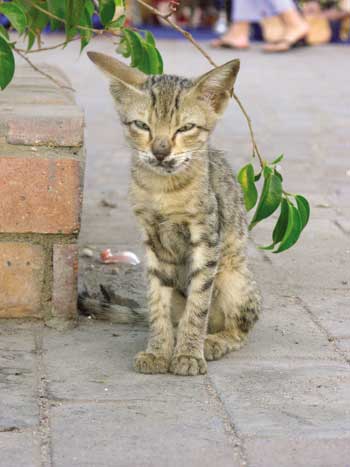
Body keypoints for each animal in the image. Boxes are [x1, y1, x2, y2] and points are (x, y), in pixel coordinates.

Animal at [87, 52, 260, 376]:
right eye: (142, 125)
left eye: (185, 128)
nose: (160, 151)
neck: (162, 189)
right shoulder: (153, 240)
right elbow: (157, 303)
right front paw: (158, 350)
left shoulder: (206, 237)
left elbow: (199, 303)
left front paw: (189, 353)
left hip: (233, 278)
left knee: (240, 328)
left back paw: (212, 341)